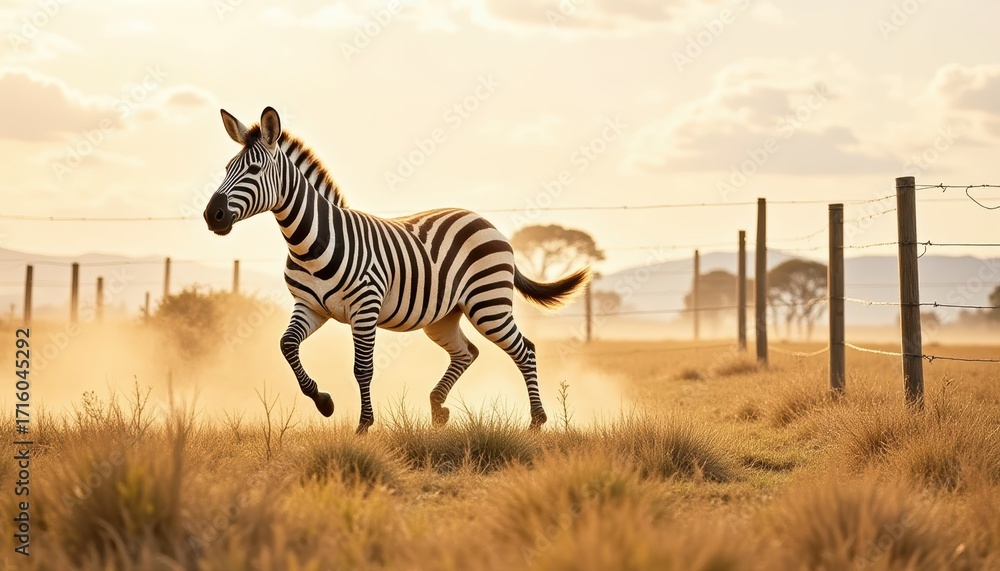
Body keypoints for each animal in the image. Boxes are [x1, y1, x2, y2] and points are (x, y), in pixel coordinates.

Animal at [203, 107, 590, 434]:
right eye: (226, 169)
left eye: (254, 170)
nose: (212, 215)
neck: (309, 243)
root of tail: (485, 221)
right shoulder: (310, 306)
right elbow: (287, 345)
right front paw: (324, 402)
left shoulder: (365, 307)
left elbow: (362, 368)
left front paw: (363, 426)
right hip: (443, 316)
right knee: (467, 352)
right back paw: (438, 409)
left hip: (488, 304)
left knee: (526, 350)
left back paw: (536, 421)